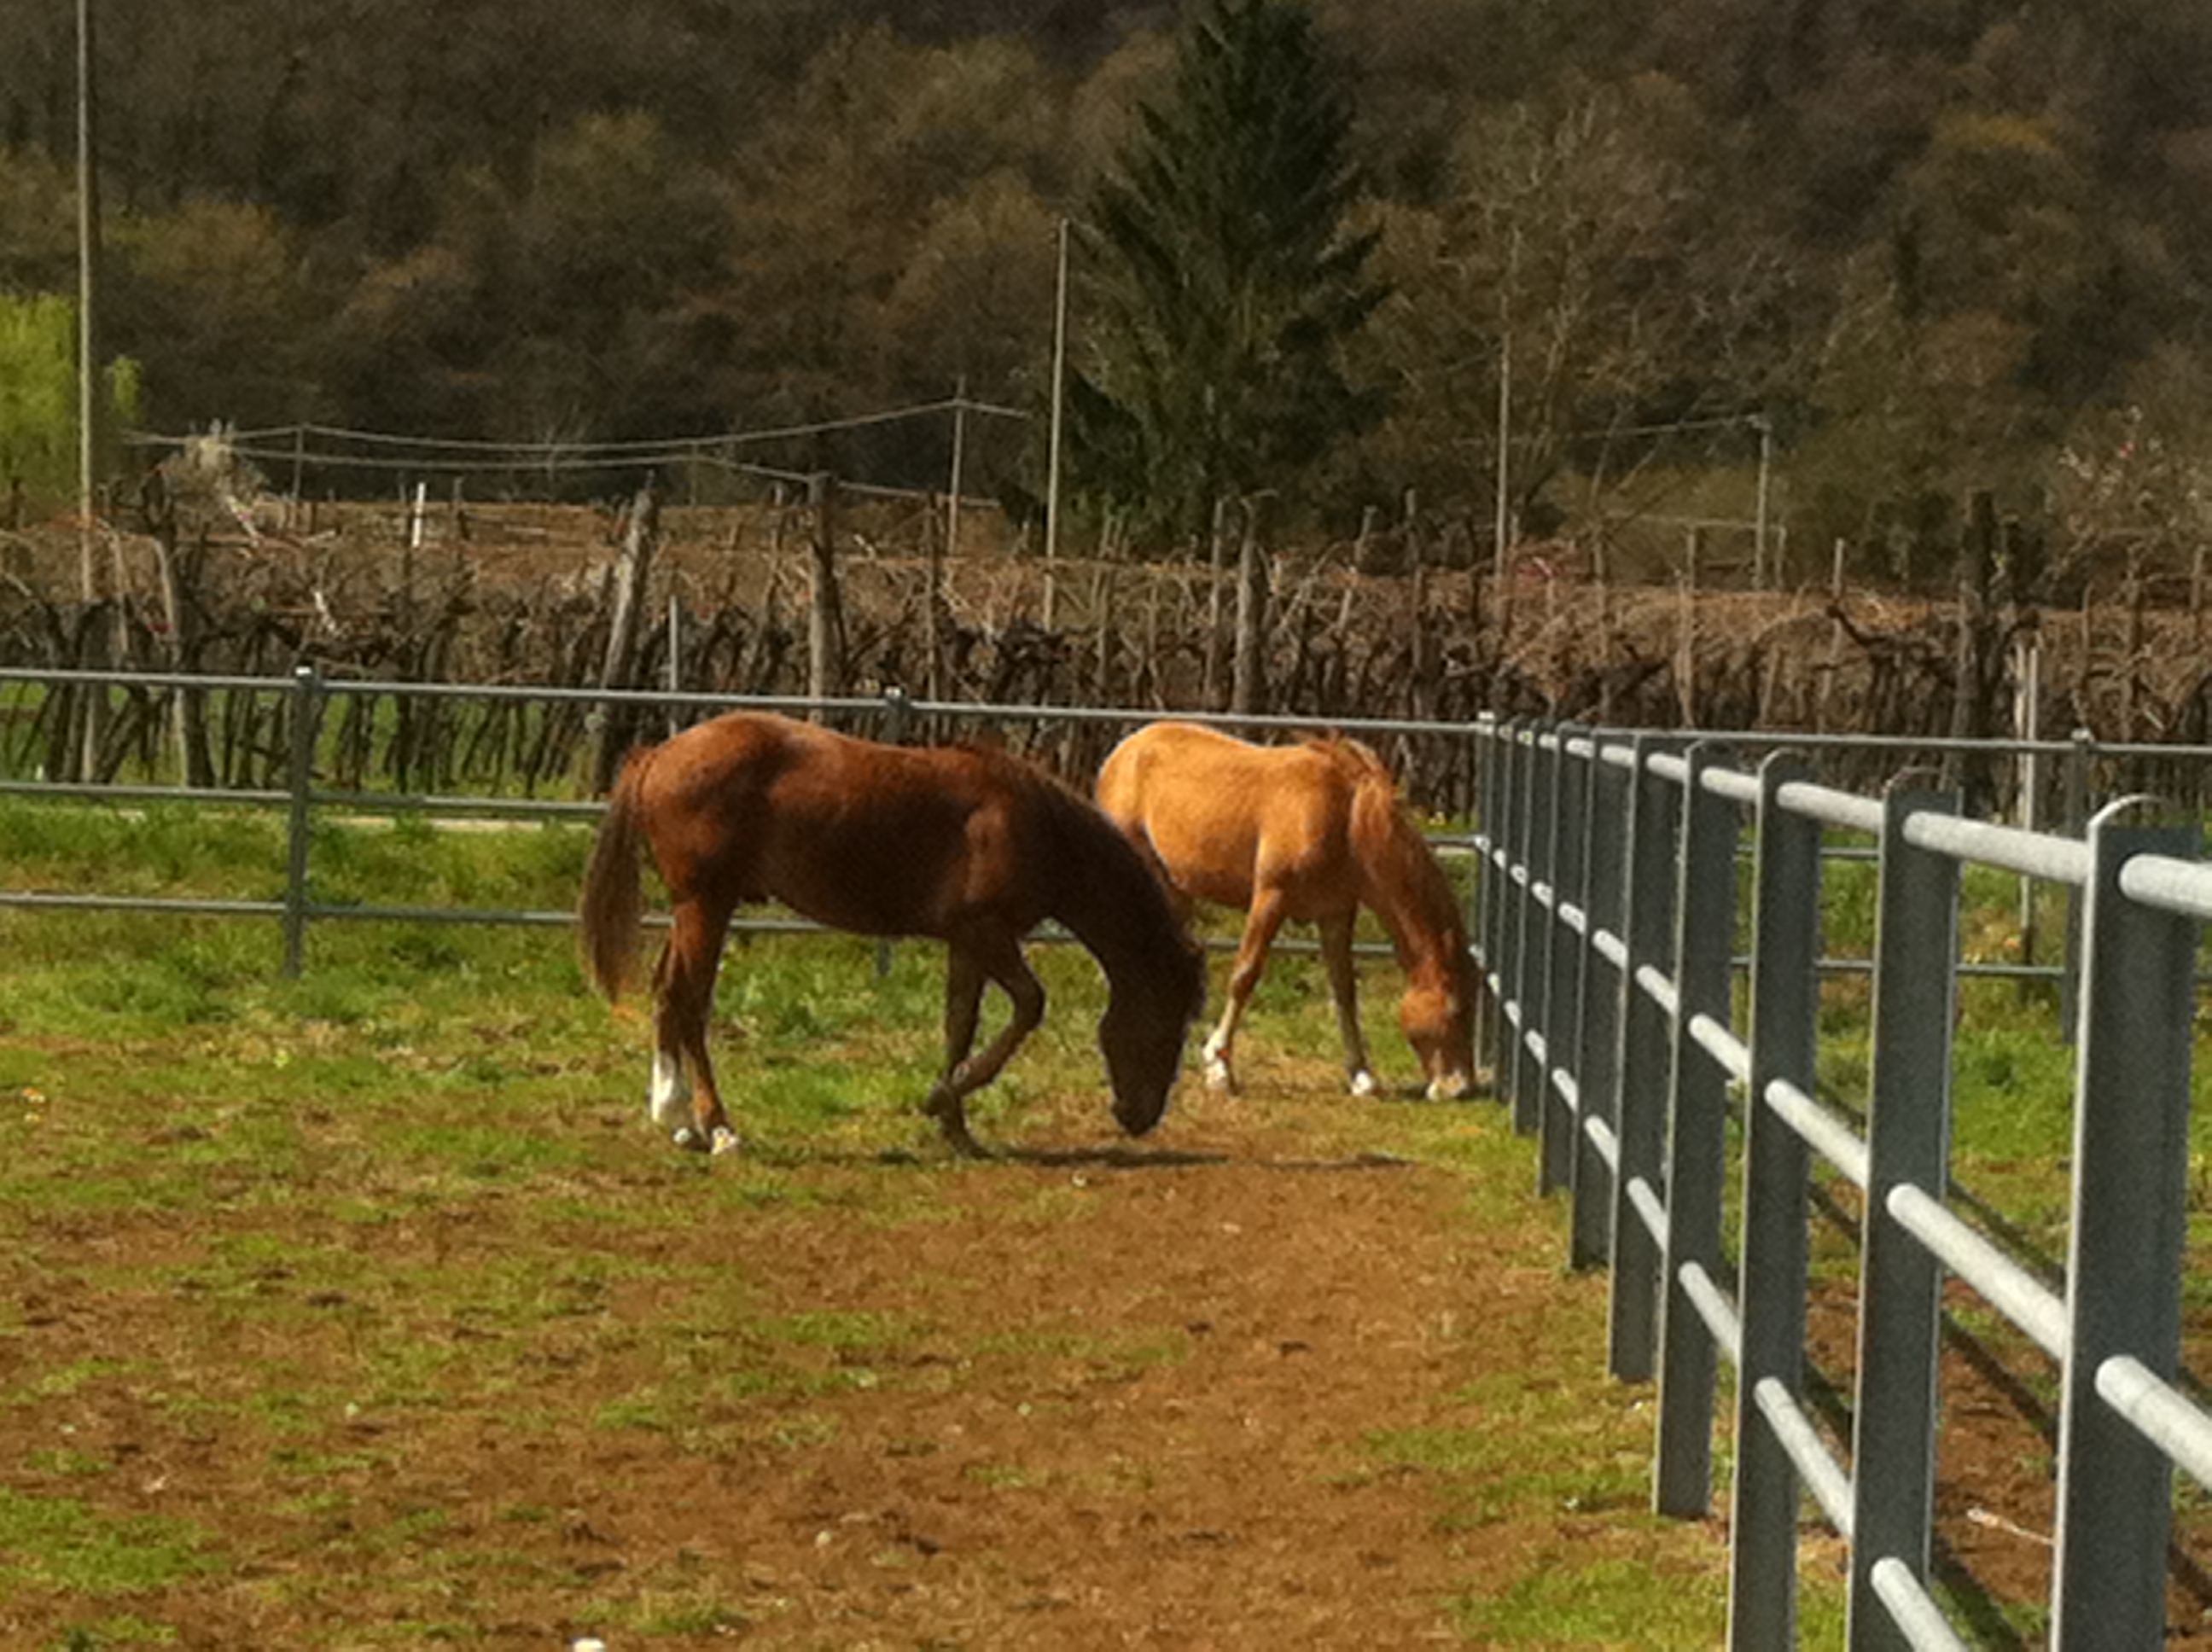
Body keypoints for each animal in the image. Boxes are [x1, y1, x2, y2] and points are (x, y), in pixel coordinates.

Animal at [577, 711, 1206, 1156]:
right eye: (1167, 1026)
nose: (1140, 1117)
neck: (1029, 823)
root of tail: (660, 753)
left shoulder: (967, 942)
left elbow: (960, 1024)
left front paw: (956, 1126)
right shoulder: (989, 933)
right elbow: (1029, 1005)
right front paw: (941, 1099)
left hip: (694, 910)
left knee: (666, 995)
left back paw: (677, 1119)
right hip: (706, 905)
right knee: (688, 1002)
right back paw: (718, 1127)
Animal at [1095, 720, 1485, 1101]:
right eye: (1456, 1009)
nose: (1459, 1087)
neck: (1346, 818)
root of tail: (1124, 751)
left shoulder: (1335, 913)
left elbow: (1344, 989)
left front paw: (1361, 1076)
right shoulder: (1271, 898)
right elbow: (1245, 975)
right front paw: (1219, 1068)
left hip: (1176, 888)